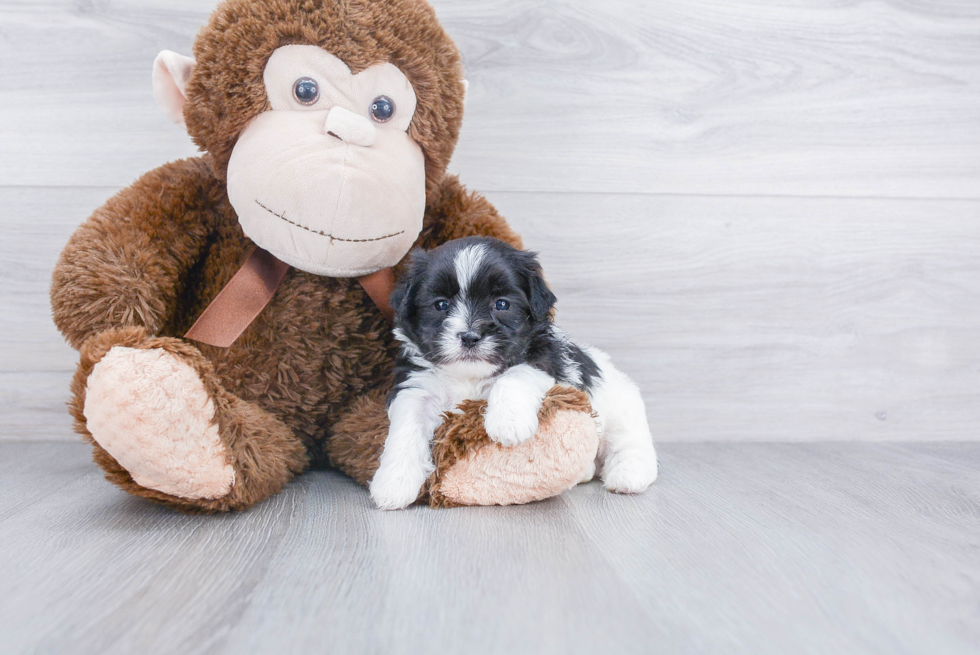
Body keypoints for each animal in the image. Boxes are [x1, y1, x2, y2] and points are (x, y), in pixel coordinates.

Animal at [370, 237, 660, 512]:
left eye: (501, 304)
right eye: (441, 305)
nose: (470, 336)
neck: (469, 376)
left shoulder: (544, 360)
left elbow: (515, 374)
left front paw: (507, 422)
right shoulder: (416, 386)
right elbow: (406, 428)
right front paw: (393, 483)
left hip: (622, 410)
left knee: (631, 443)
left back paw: (628, 474)